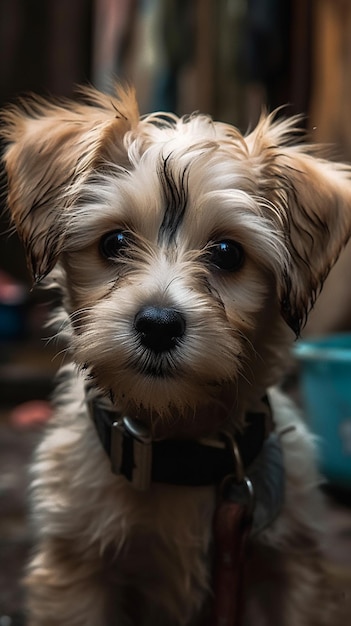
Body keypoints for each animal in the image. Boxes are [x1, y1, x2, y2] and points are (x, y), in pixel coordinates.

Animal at [1, 86, 350, 624]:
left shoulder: (293, 567)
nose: (159, 325)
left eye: (228, 253)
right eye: (114, 242)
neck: (176, 446)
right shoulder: (76, 574)